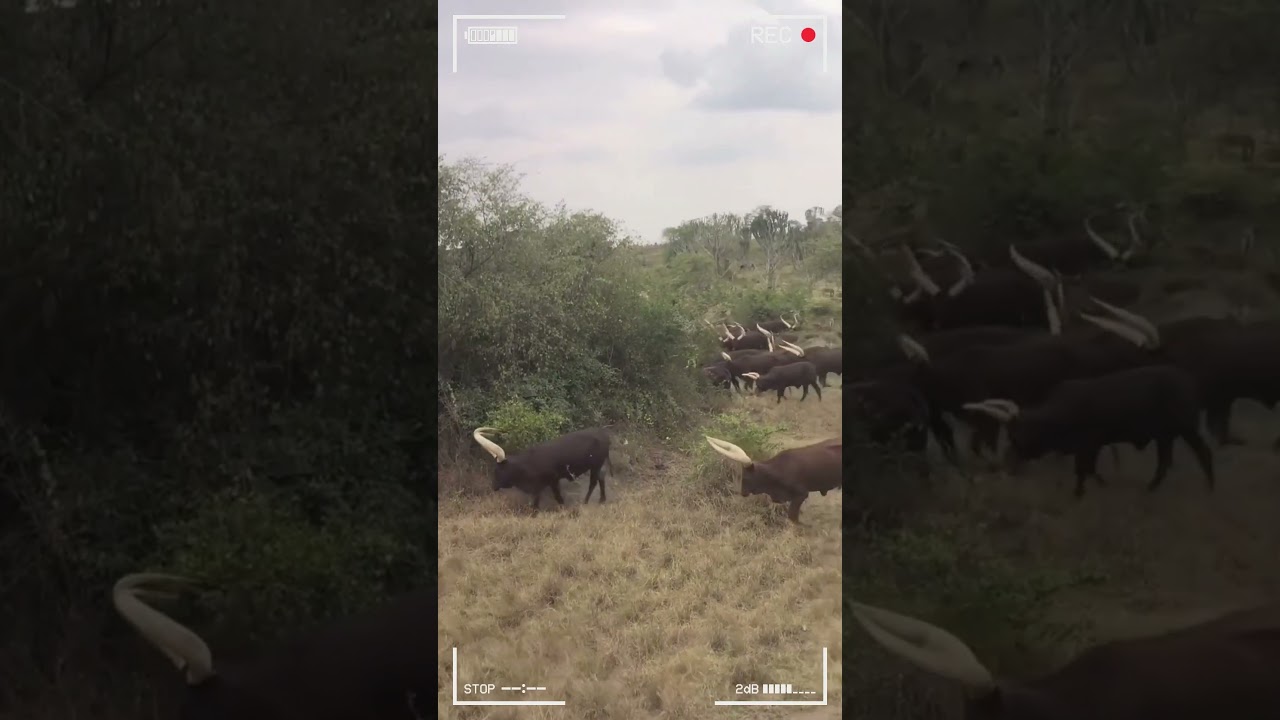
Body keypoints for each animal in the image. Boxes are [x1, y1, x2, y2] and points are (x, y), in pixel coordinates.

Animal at [472, 427, 611, 508]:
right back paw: (602, 500)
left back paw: (586, 502)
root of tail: (604, 434)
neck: (526, 464)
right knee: (601, 478)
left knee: (593, 483)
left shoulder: (552, 481)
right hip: (598, 466)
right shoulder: (537, 487)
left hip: (595, 465)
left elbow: (557, 497)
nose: (493, 486)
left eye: (498, 470)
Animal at [963, 364, 1215, 498]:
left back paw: (1209, 485)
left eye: (1015, 437)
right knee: (1165, 461)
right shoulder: (1091, 446)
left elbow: (1082, 470)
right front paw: (1099, 483)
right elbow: (1090, 469)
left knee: (1203, 452)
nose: (1005, 467)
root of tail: (1188, 381)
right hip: (1165, 435)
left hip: (1186, 429)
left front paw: (1078, 492)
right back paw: (1152, 487)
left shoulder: (1086, 445)